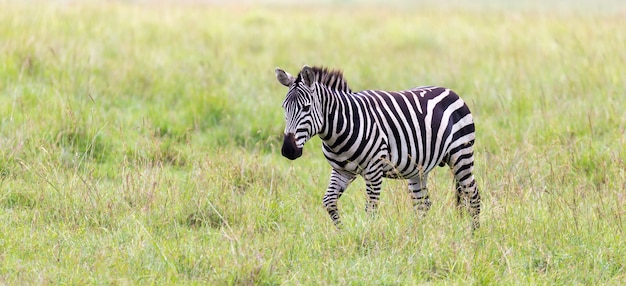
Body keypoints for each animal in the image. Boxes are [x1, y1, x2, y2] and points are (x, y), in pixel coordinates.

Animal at [272, 65, 478, 230]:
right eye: (284, 108)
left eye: (306, 108)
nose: (288, 150)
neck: (339, 129)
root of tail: (450, 91)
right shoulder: (341, 170)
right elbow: (329, 202)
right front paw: (343, 233)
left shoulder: (373, 170)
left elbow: (370, 208)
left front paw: (368, 237)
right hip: (419, 167)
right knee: (423, 204)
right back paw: (418, 235)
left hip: (461, 155)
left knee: (472, 194)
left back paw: (474, 235)